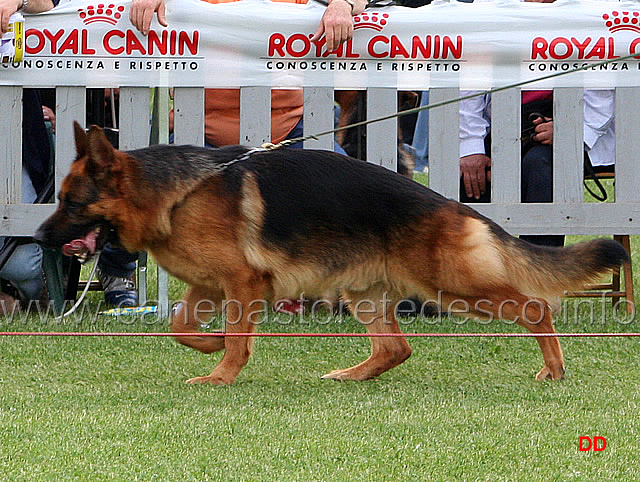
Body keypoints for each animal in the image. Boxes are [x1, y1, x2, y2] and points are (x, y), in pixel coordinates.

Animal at [36, 123, 632, 384]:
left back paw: (553, 369)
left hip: (451, 286)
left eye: (71, 202)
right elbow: (180, 327)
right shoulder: (209, 285)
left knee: (536, 307)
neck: (176, 193)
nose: (40, 238)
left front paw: (221, 374)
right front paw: (209, 347)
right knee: (396, 349)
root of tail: (452, 204)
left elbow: (235, 339)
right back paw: (351, 376)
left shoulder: (242, 285)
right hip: (363, 292)